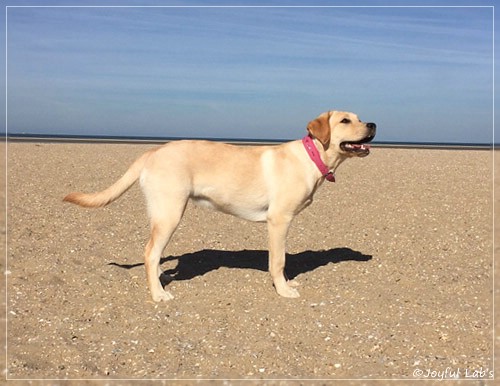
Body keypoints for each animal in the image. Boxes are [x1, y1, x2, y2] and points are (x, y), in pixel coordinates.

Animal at [63, 110, 376, 304]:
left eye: (360, 118)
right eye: (345, 120)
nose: (373, 125)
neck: (312, 156)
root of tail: (153, 151)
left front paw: (288, 283)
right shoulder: (278, 220)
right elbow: (278, 261)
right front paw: (283, 289)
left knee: (155, 256)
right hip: (170, 212)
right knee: (150, 253)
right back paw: (158, 294)